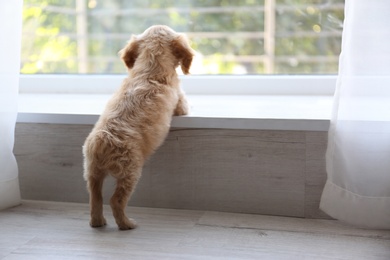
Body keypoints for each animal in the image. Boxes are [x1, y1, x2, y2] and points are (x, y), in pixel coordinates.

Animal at [82, 24, 193, 230]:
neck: (150, 66)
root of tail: (102, 140)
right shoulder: (180, 100)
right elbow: (184, 106)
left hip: (93, 173)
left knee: (95, 199)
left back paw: (97, 222)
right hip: (130, 172)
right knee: (115, 201)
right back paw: (126, 224)